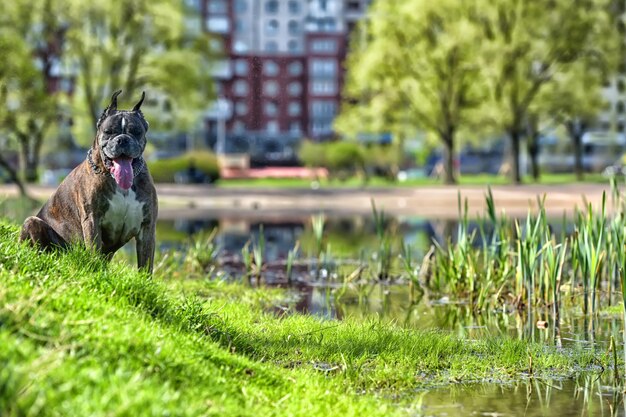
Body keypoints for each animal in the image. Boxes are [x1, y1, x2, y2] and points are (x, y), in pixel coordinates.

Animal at [19, 90, 157, 272]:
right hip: (32, 222)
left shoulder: (147, 227)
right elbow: (94, 249)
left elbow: (146, 264)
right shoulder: (92, 219)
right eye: (109, 131)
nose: (122, 139)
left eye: (135, 131)